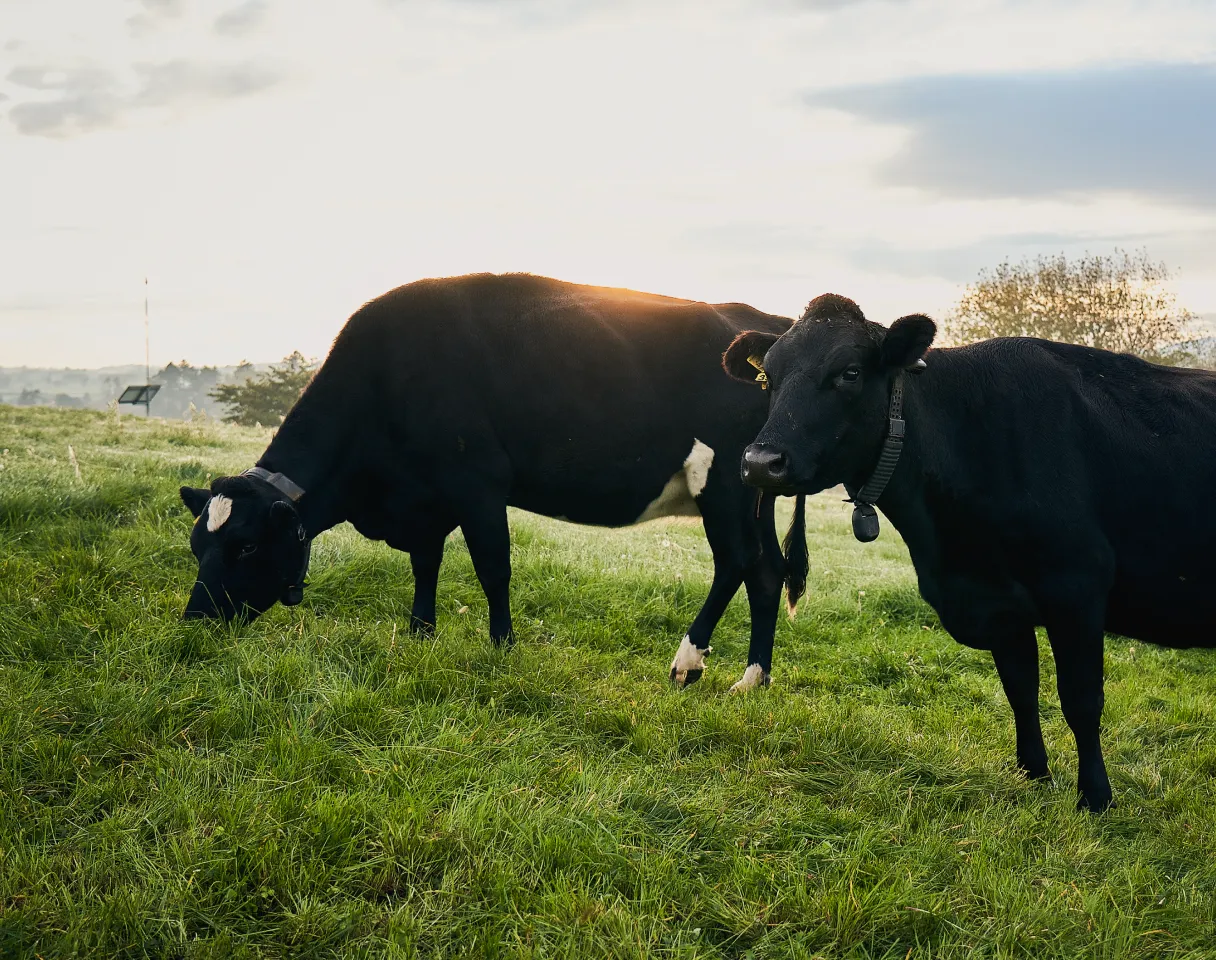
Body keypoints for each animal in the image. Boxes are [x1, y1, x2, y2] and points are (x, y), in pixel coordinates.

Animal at [179, 273, 807, 691]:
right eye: (196, 544)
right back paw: (753, 679)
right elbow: (426, 564)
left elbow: (492, 567)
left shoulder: (476, 484)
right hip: (755, 490)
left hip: (722, 483)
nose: (194, 621)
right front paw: (420, 633)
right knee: (767, 571)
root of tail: (771, 326)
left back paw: (689, 662)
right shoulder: (426, 499)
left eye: (247, 545)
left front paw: (502, 646)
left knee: (736, 563)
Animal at [724, 292, 1216, 811]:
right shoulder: (999, 603)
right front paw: (1033, 774)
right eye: (768, 377)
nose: (761, 462)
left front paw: (1095, 798)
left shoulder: (1076, 587)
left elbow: (1081, 700)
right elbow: (1021, 689)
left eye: (850, 372)